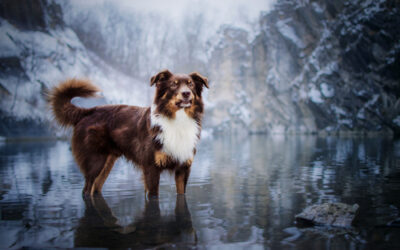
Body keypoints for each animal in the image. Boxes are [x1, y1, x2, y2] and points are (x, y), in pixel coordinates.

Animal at [48, 69, 208, 196]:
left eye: (190, 84)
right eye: (174, 84)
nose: (186, 93)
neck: (177, 120)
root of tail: (88, 112)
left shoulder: (183, 168)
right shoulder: (151, 168)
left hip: (107, 162)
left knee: (95, 189)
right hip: (95, 162)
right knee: (87, 190)